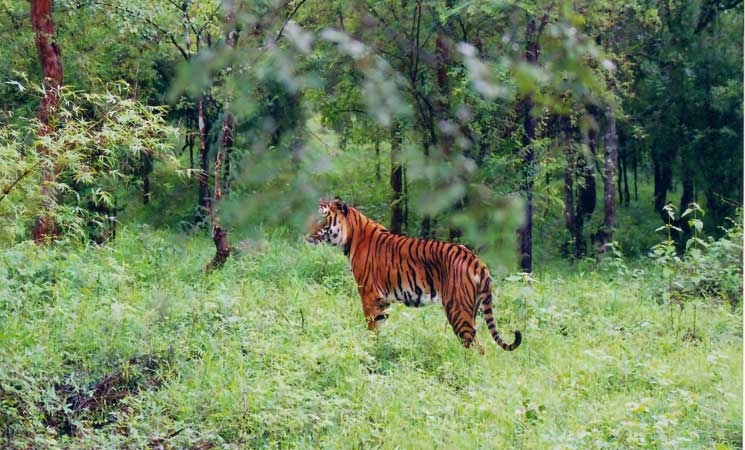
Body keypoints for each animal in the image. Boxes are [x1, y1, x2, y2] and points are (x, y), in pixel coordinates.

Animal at [306, 197, 520, 352]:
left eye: (322, 218)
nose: (305, 233)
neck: (351, 236)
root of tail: (475, 260)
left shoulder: (368, 294)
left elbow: (372, 328)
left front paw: (369, 350)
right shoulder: (382, 301)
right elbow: (380, 327)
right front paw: (380, 350)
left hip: (458, 310)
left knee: (477, 347)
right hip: (471, 309)